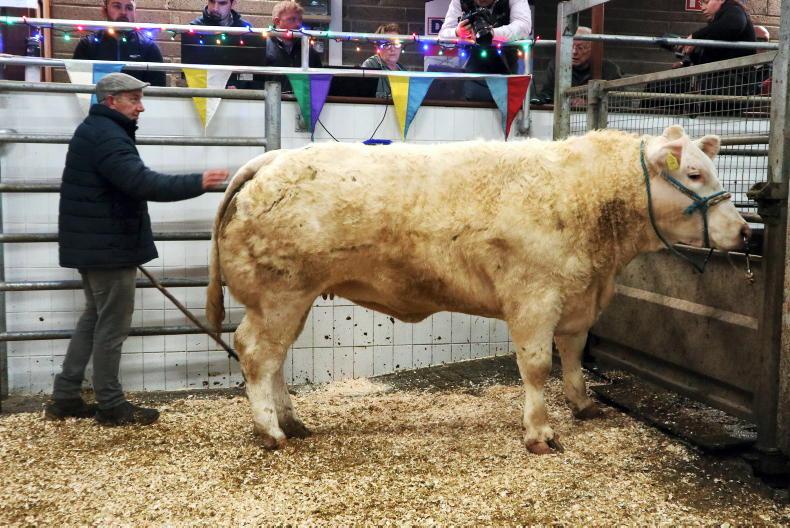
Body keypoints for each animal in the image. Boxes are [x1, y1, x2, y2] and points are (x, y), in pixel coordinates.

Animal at [206, 125, 749, 454]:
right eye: (694, 173)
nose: (745, 231)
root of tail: (271, 160)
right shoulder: (534, 298)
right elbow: (537, 366)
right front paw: (539, 432)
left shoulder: (578, 297)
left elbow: (572, 355)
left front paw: (582, 404)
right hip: (279, 294)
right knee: (256, 353)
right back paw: (270, 431)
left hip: (291, 299)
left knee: (275, 359)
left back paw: (291, 422)